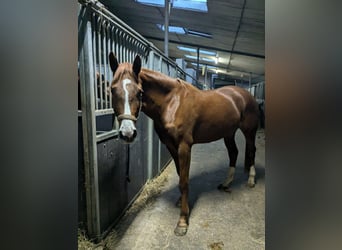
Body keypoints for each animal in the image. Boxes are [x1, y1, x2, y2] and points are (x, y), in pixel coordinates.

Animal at [108, 51, 258, 235]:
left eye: (139, 92)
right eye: (112, 89)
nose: (127, 133)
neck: (172, 102)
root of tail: (246, 94)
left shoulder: (184, 147)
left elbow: (184, 182)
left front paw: (182, 222)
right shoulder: (171, 147)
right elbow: (181, 175)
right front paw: (181, 202)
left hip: (249, 131)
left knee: (251, 150)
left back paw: (251, 180)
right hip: (228, 133)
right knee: (234, 152)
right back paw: (226, 183)